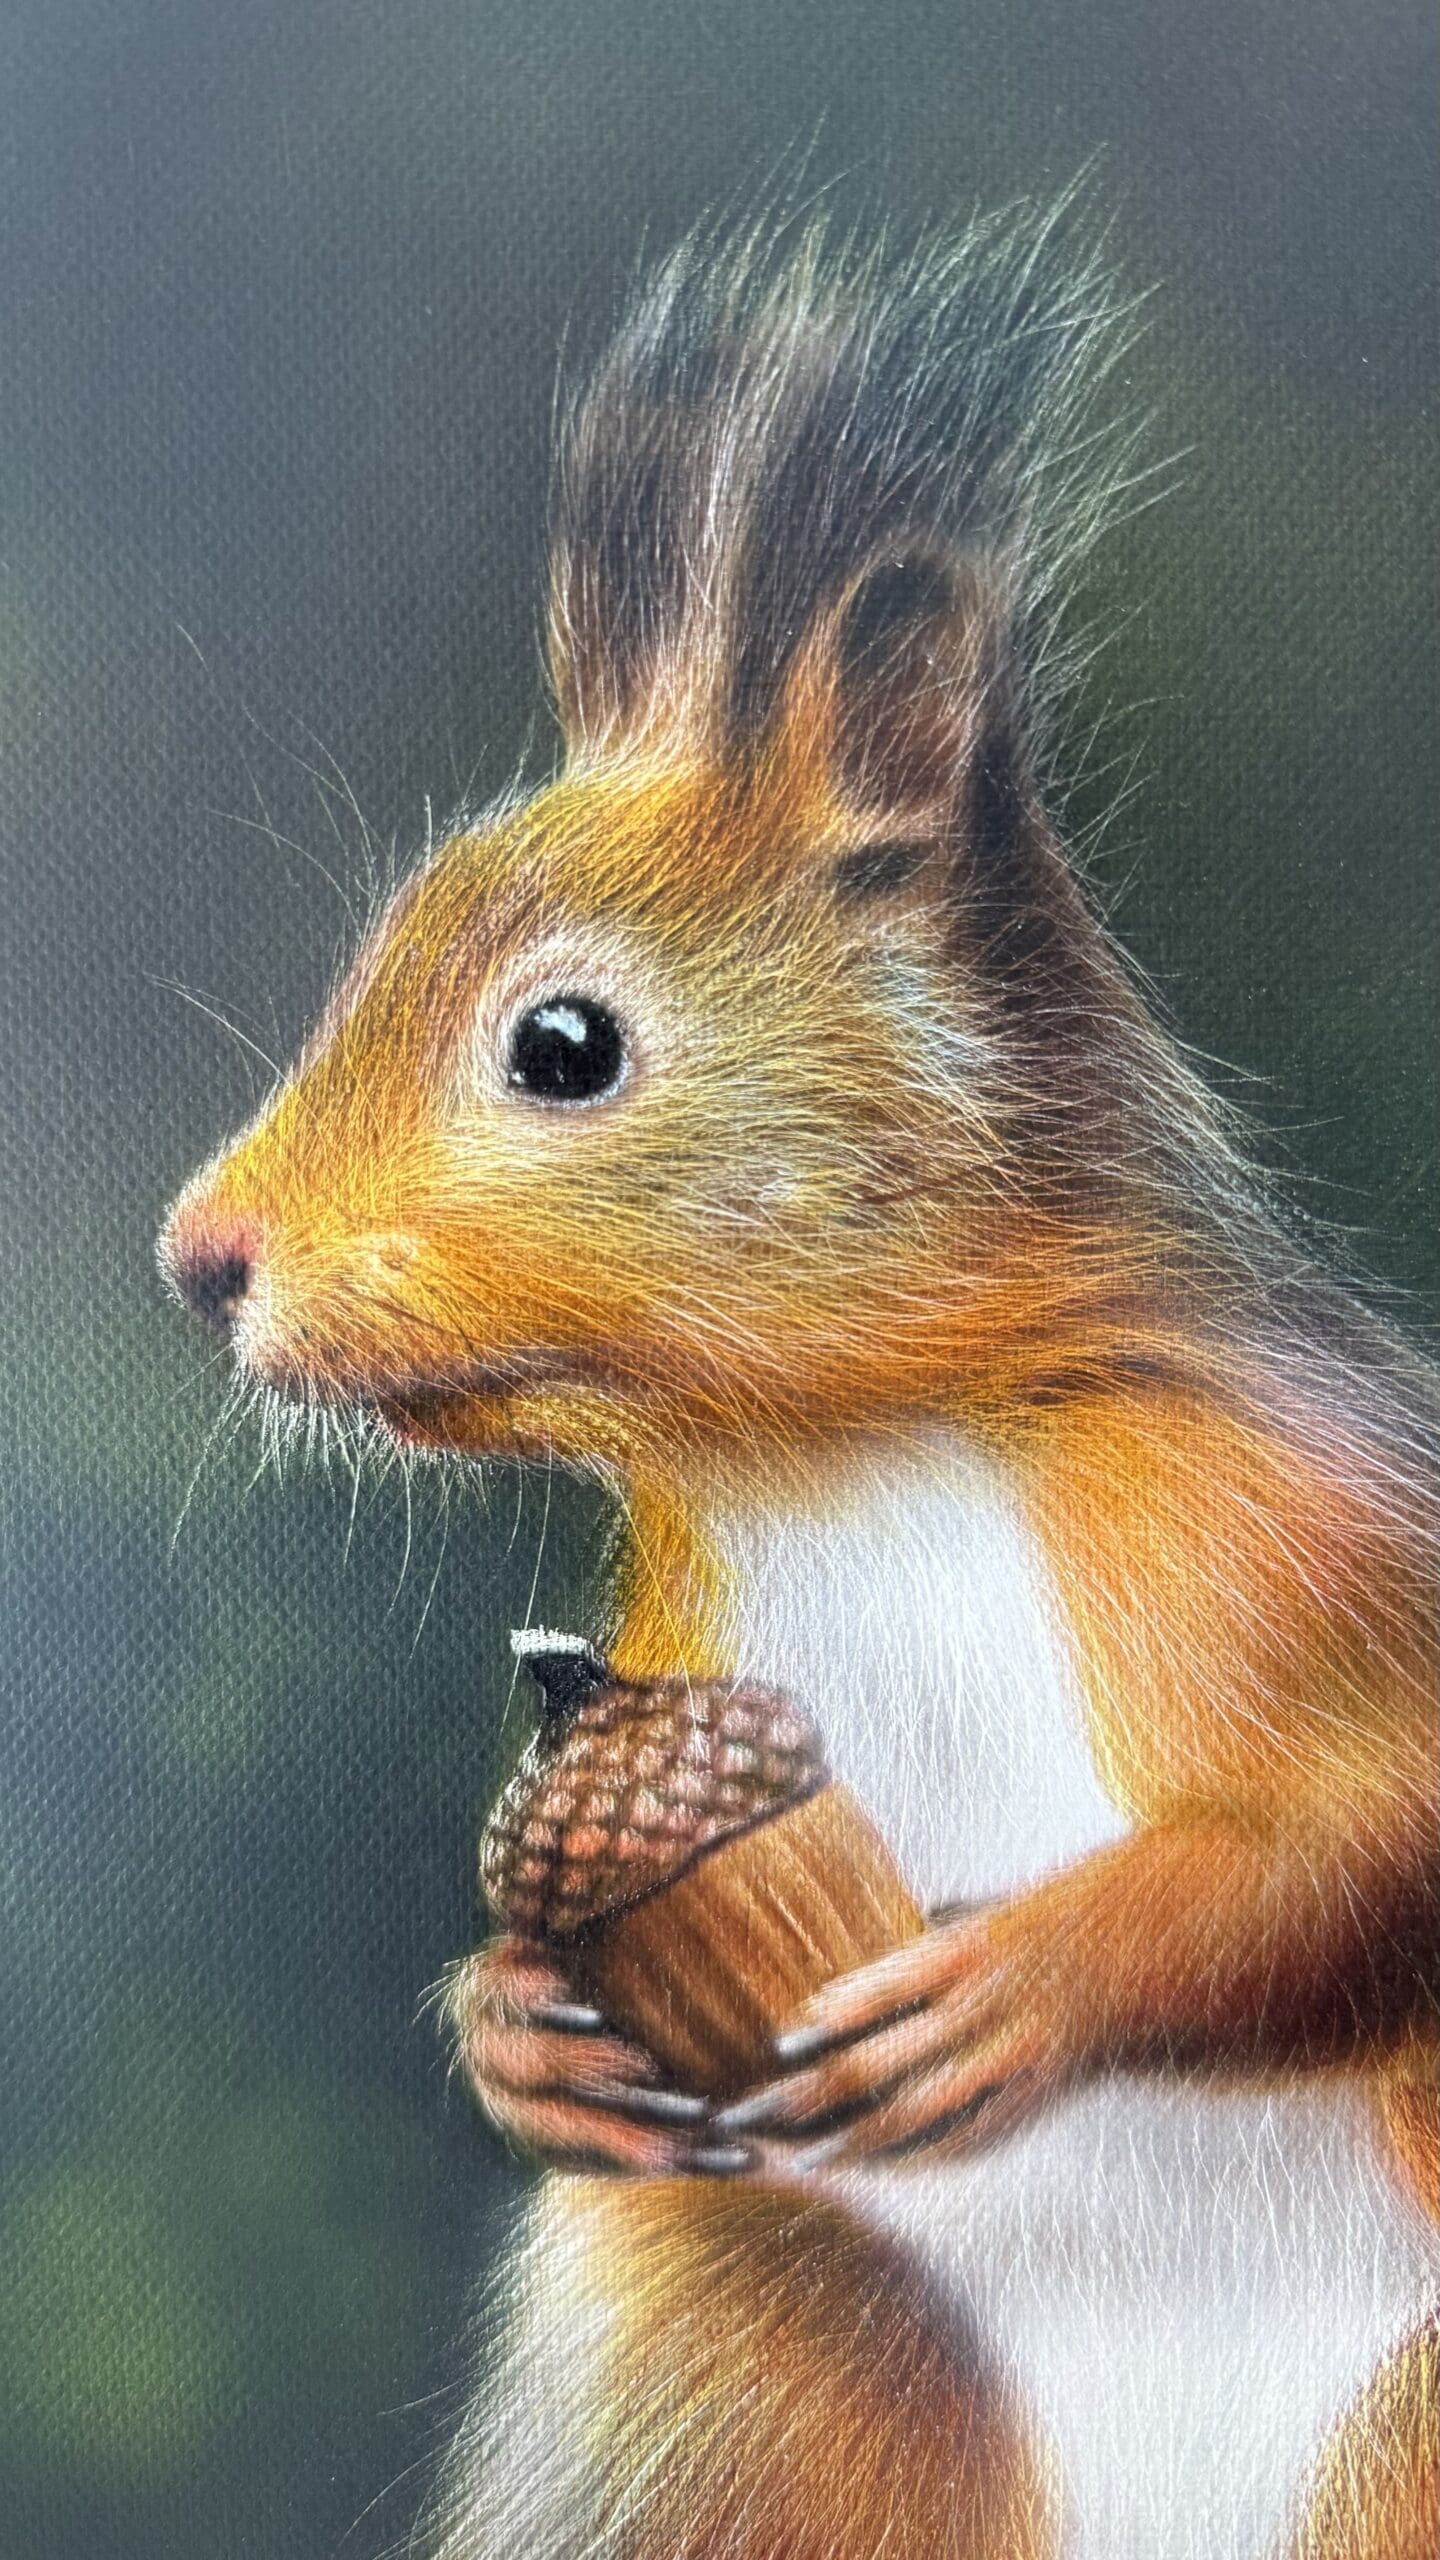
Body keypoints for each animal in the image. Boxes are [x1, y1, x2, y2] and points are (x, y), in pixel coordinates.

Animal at [161, 204, 1440, 2559]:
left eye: (564, 1046)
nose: (201, 1260)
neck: (854, 1450)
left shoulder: (1286, 1518)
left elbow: (1370, 1848)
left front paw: (1032, 1980)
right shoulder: (684, 1620)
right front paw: (516, 2029)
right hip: (742, 2375)